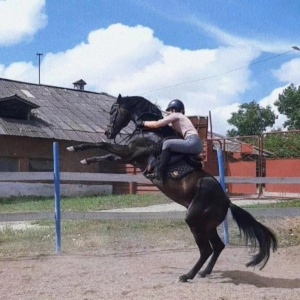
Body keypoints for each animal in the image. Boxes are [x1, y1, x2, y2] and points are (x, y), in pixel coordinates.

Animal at [67, 94, 276, 282]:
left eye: (113, 111)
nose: (108, 132)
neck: (149, 132)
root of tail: (227, 201)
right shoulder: (127, 156)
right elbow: (106, 155)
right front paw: (85, 159)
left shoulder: (130, 153)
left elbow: (102, 145)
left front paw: (75, 148)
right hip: (207, 224)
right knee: (217, 247)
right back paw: (204, 272)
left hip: (194, 220)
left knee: (206, 249)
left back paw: (187, 275)